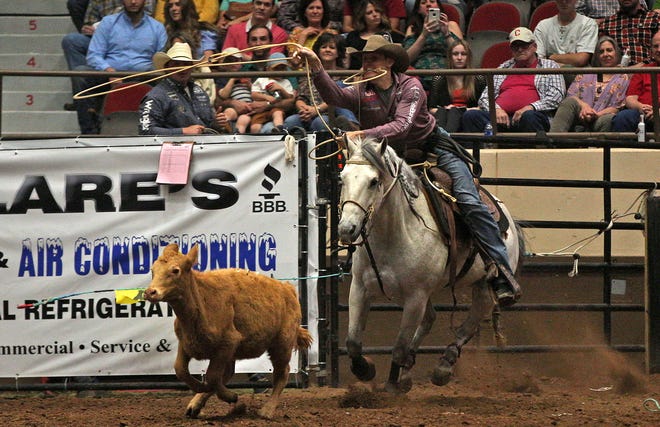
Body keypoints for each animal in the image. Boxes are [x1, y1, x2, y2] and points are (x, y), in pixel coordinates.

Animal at [337, 135, 524, 392]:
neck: (397, 231)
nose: (347, 229)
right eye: (342, 178)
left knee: (470, 322)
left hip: (482, 285)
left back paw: (443, 367)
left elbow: (399, 347)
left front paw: (392, 386)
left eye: (374, 181)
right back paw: (408, 370)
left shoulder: (416, 296)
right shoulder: (360, 288)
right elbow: (353, 341)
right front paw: (366, 370)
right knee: (430, 319)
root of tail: (504, 212)